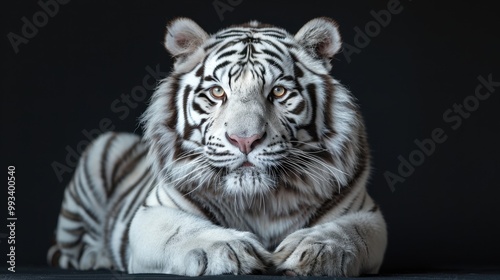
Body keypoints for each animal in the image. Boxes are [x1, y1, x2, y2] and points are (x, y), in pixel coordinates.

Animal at [47, 17, 386, 276]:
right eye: (217, 92)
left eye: (278, 92)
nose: (245, 139)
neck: (259, 202)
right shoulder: (152, 212)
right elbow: (183, 231)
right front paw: (228, 249)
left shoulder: (368, 214)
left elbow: (346, 231)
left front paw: (316, 249)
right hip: (102, 151)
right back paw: (95, 258)